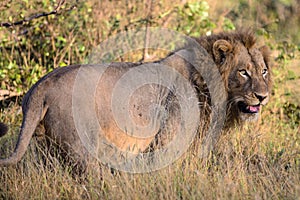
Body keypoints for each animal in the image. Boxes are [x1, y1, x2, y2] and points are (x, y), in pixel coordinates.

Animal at [0, 29, 272, 170]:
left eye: (263, 71)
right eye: (243, 72)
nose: (263, 96)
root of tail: (41, 86)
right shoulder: (167, 140)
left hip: (50, 148)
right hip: (81, 147)